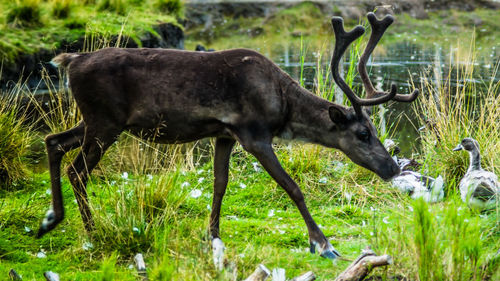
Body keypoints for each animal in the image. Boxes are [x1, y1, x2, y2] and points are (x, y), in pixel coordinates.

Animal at [37, 11, 418, 260]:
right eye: (363, 133)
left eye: (373, 130)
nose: (392, 168)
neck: (283, 105)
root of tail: (70, 60)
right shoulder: (254, 134)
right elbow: (292, 187)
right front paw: (323, 244)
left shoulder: (224, 134)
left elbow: (219, 184)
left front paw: (214, 237)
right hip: (104, 123)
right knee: (77, 170)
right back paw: (92, 231)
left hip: (95, 122)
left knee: (53, 141)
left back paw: (51, 220)